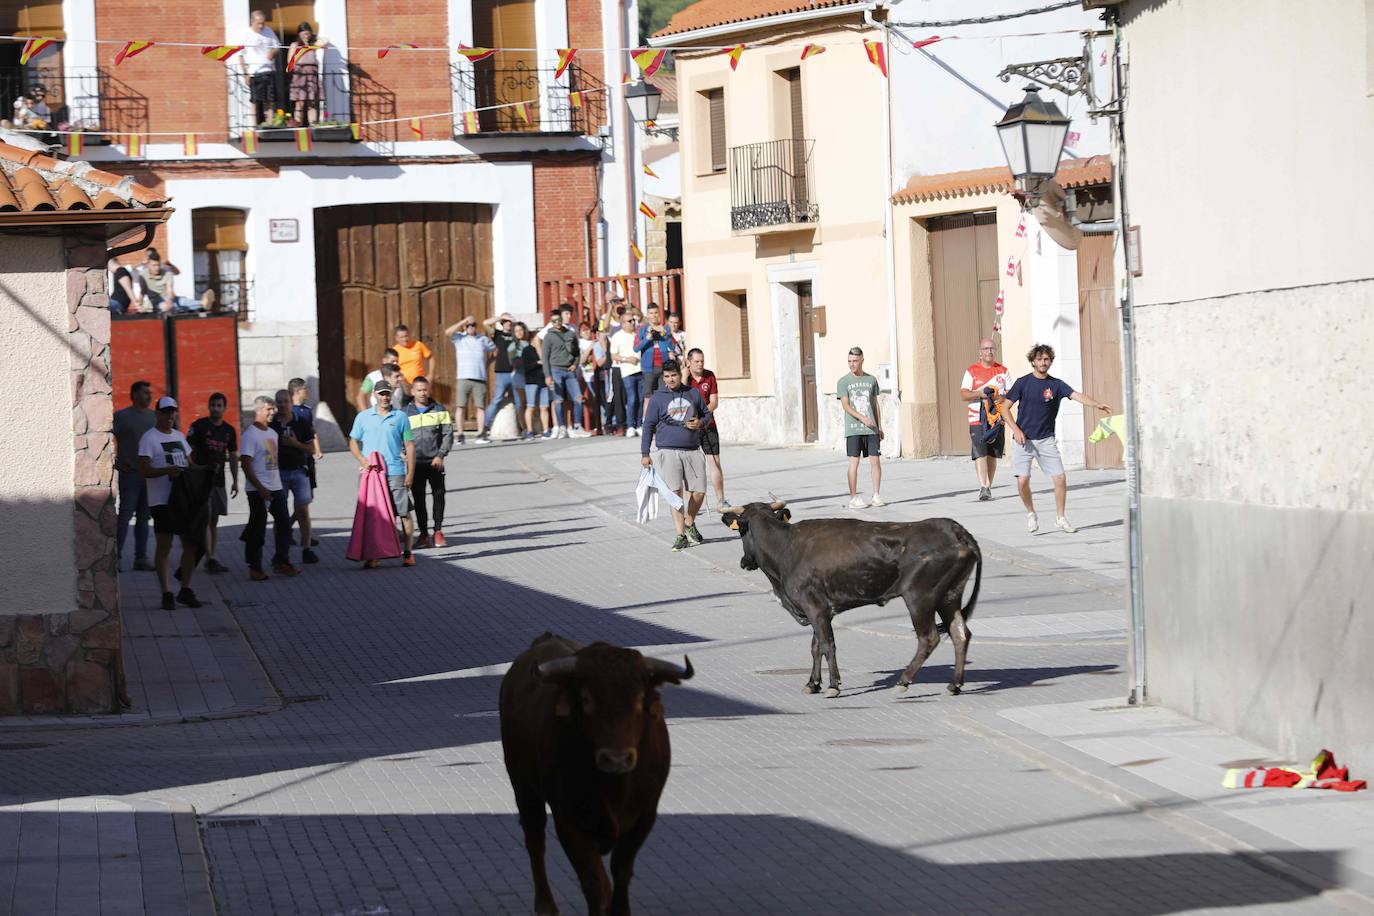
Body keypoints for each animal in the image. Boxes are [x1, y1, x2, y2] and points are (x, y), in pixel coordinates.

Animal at [500, 634, 692, 916]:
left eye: (639, 699)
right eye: (586, 699)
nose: (616, 758)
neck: (614, 788)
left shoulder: (645, 816)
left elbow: (621, 870)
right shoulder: (568, 821)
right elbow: (593, 881)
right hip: (523, 786)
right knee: (535, 837)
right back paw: (545, 904)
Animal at [725, 502, 983, 694]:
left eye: (741, 531)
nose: (743, 562)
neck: (786, 547)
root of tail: (954, 530)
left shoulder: (815, 608)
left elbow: (827, 644)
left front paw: (833, 685)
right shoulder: (819, 610)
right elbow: (815, 646)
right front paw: (812, 683)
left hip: (920, 598)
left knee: (929, 638)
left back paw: (903, 681)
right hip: (949, 596)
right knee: (960, 634)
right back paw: (954, 685)